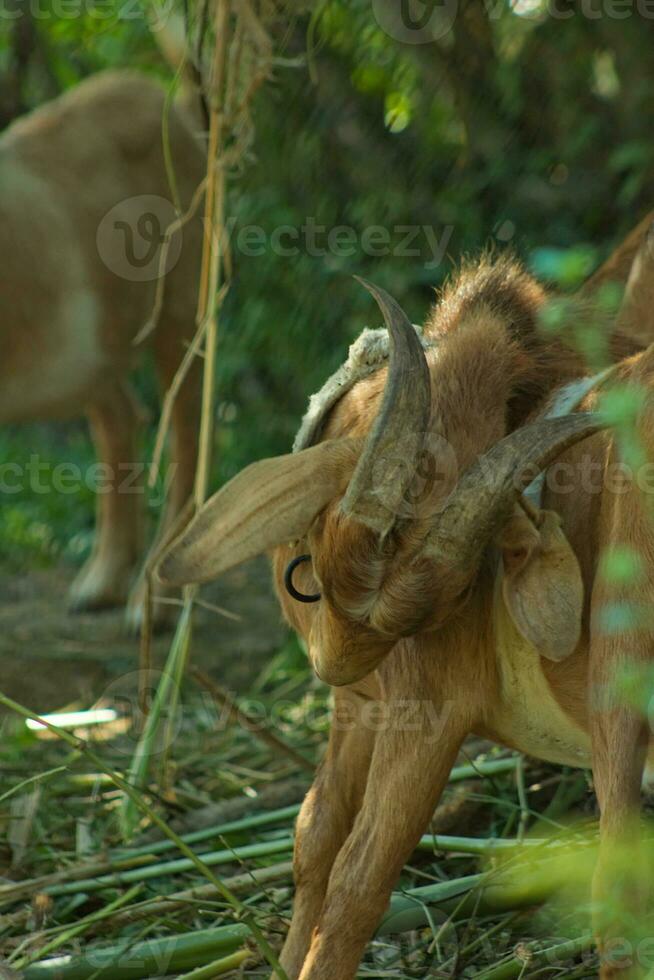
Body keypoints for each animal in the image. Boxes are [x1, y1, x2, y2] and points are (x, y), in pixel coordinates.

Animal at [161, 218, 654, 976]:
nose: (334, 658)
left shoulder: (428, 707)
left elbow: (359, 880)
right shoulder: (358, 707)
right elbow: (313, 838)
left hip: (621, 661)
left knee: (616, 883)